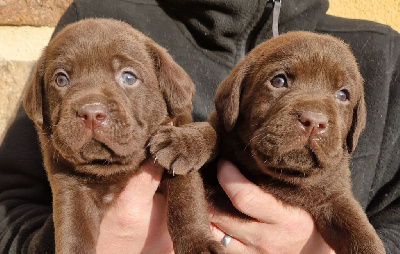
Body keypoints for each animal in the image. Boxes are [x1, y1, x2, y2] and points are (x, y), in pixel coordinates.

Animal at [23, 18, 223, 254]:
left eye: (128, 77)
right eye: (61, 79)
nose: (91, 113)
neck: (111, 168)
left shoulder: (176, 163)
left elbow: (186, 200)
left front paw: (198, 244)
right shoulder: (70, 186)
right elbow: (72, 228)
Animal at [205, 32, 386, 254]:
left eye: (343, 95)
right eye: (279, 81)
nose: (314, 121)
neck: (283, 177)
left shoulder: (334, 197)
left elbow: (360, 231)